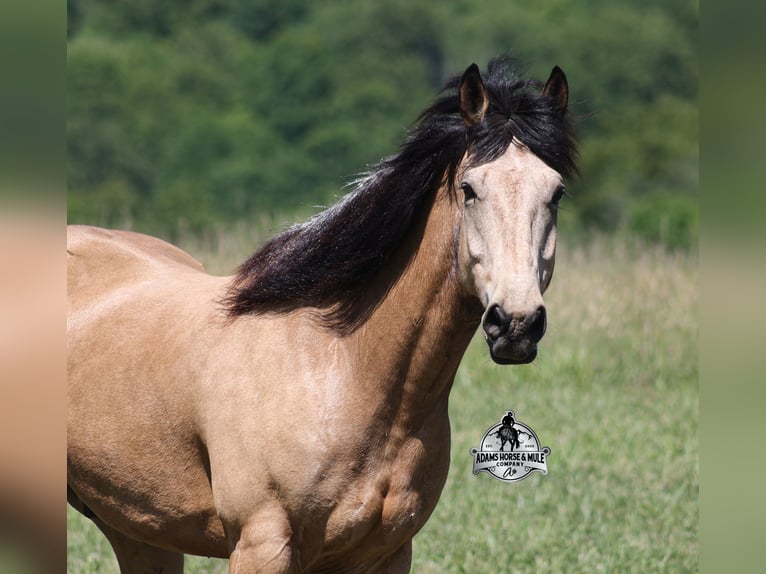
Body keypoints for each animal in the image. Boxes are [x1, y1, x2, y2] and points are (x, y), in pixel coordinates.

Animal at [67, 57, 577, 573]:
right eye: (469, 189)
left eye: (555, 193)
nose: (515, 323)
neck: (343, 366)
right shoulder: (262, 545)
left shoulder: (388, 552)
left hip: (139, 528)